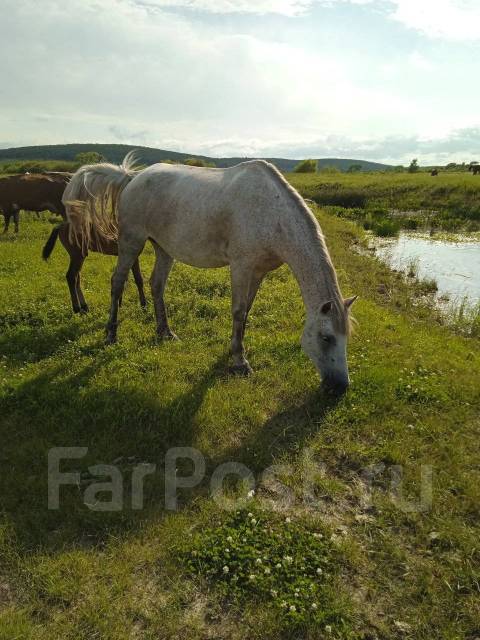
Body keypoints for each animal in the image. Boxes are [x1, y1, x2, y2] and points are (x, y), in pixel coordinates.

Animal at [63, 156, 356, 396]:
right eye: (326, 338)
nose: (340, 387)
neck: (272, 215)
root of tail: (132, 178)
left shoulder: (258, 272)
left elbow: (246, 311)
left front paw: (234, 350)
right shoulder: (241, 267)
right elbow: (238, 311)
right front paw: (240, 362)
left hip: (164, 248)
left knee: (157, 285)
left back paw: (165, 332)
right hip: (131, 242)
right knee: (118, 282)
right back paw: (111, 335)